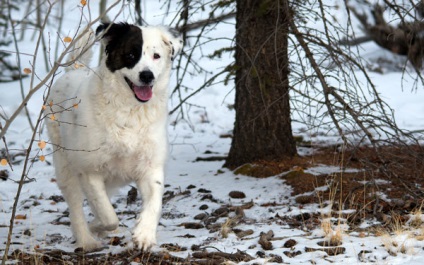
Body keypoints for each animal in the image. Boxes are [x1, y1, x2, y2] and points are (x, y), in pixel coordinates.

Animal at [46, 22, 182, 250]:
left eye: (156, 55)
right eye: (131, 54)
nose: (147, 75)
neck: (130, 112)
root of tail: (75, 70)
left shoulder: (150, 166)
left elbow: (155, 202)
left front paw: (144, 234)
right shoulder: (90, 169)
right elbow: (108, 215)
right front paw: (97, 227)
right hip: (64, 164)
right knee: (76, 205)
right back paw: (86, 240)